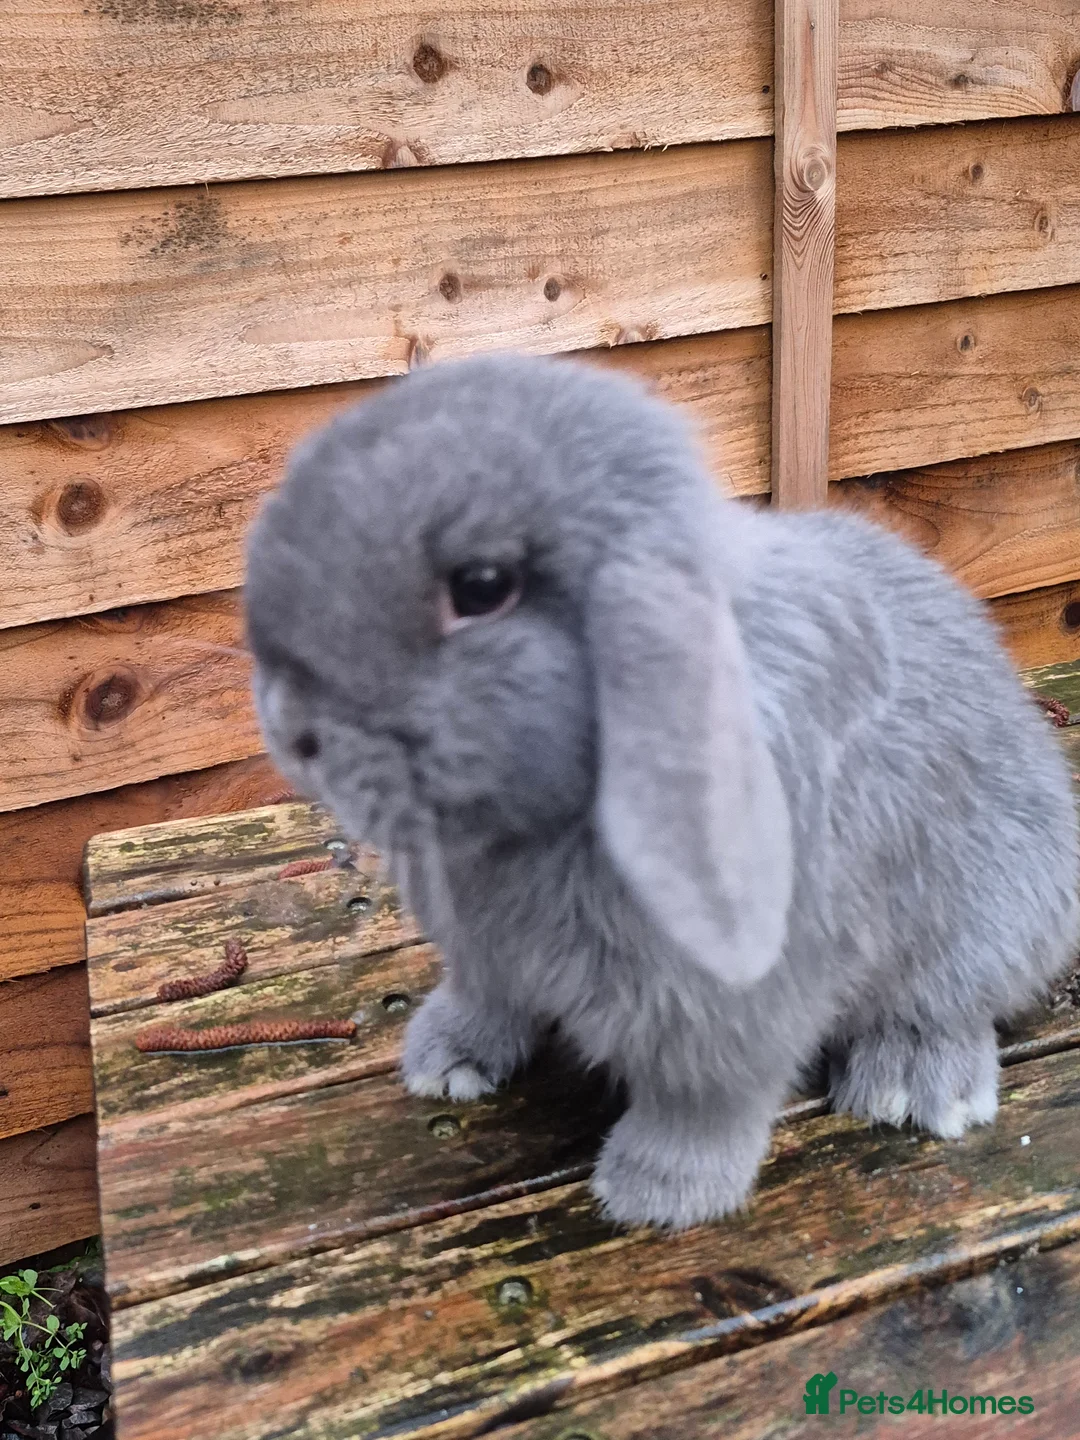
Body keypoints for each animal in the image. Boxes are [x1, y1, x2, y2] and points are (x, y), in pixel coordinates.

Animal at [244, 351, 1080, 1231]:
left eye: (481, 586)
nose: (294, 728)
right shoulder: (485, 954)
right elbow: (487, 999)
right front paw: (445, 1062)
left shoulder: (731, 999)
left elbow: (704, 1097)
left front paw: (656, 1194)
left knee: (954, 1001)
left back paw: (912, 1087)